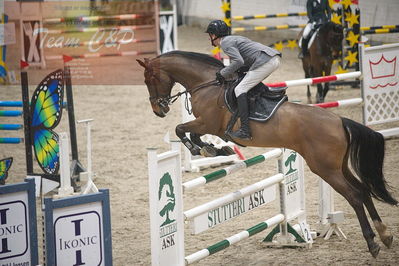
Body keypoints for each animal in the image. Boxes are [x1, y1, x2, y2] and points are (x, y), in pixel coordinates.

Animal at [138, 50, 396, 258]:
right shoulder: (207, 125)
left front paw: (202, 148)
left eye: (149, 79)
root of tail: (340, 120)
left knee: (355, 196)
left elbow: (181, 130)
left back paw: (373, 244)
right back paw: (385, 235)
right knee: (364, 190)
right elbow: (190, 134)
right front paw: (216, 149)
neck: (207, 83)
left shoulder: (207, 123)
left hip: (325, 168)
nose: (158, 109)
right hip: (338, 166)